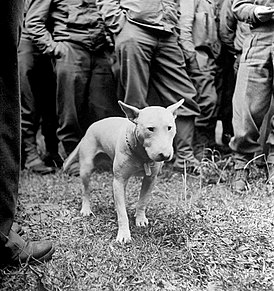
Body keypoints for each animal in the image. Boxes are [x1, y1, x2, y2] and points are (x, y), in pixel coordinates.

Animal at [63, 100, 184, 244]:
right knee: (86, 190)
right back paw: (86, 208)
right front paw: (124, 234)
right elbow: (122, 212)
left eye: (169, 127)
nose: (165, 155)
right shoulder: (120, 181)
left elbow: (143, 200)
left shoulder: (150, 179)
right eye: (150, 128)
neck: (142, 155)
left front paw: (140, 218)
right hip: (86, 168)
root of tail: (91, 127)